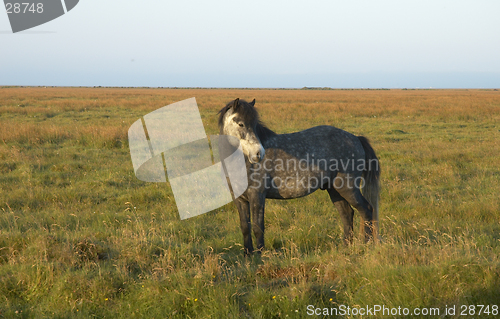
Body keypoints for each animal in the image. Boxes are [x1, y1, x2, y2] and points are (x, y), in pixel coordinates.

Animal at [218, 97, 378, 255]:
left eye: (255, 125)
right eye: (241, 123)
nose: (258, 154)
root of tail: (356, 138)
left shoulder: (257, 195)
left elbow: (258, 227)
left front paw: (259, 255)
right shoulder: (239, 199)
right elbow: (245, 227)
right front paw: (248, 254)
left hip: (348, 188)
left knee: (366, 210)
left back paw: (367, 244)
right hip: (334, 190)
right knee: (347, 214)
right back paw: (345, 247)